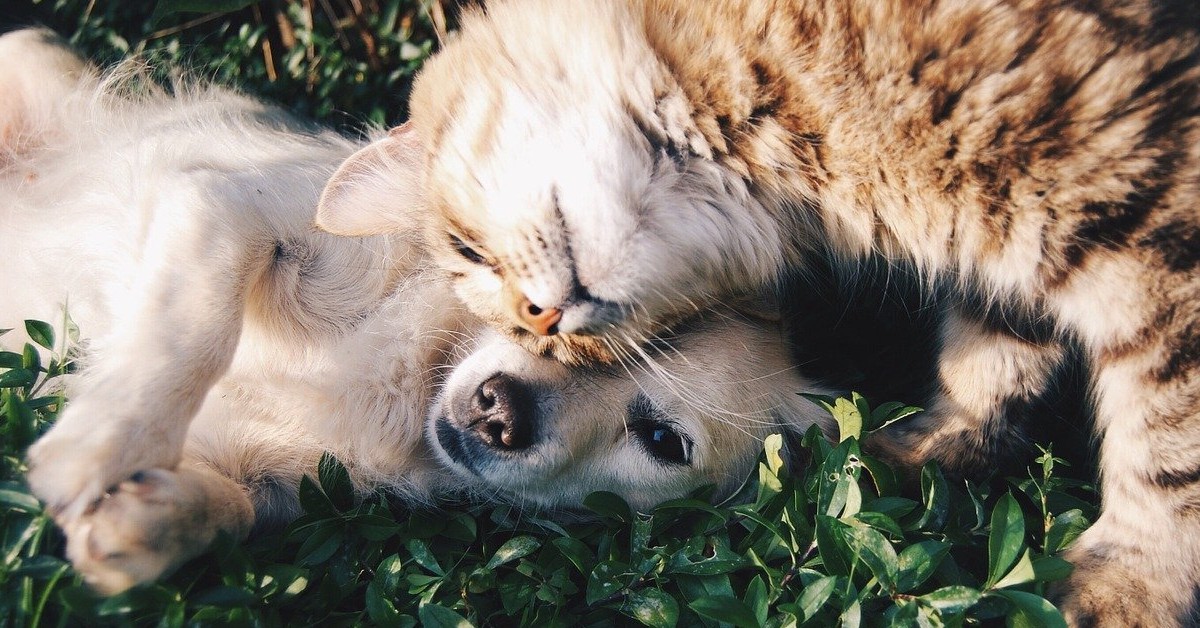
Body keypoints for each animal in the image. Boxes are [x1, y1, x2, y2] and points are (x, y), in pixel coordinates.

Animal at [316, 0, 1200, 624]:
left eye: (467, 250)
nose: (541, 324)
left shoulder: (1154, 227)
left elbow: (1169, 445)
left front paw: (1133, 584)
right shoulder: (1008, 257)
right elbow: (993, 354)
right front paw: (926, 449)